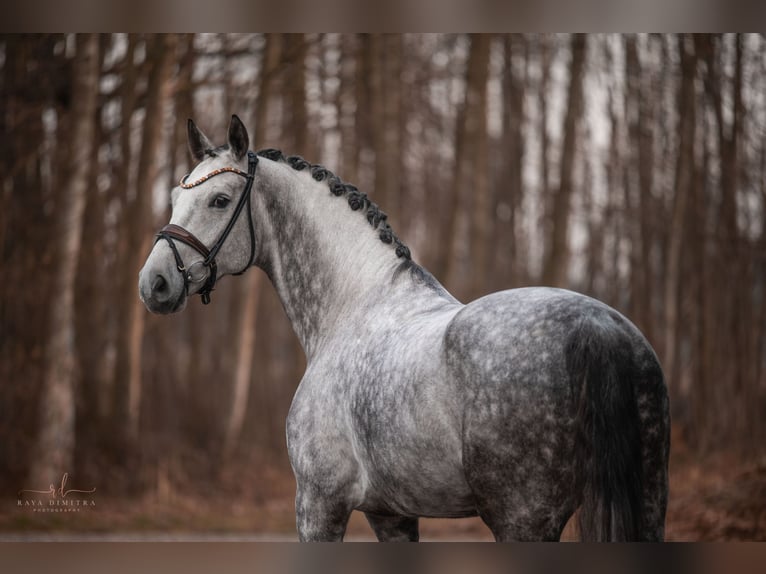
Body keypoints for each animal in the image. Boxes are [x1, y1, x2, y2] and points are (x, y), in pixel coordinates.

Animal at [141, 117, 668, 544]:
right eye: (174, 197)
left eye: (220, 199)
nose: (155, 283)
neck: (354, 305)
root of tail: (596, 327)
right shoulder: (390, 513)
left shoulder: (318, 504)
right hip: (649, 504)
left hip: (523, 519)